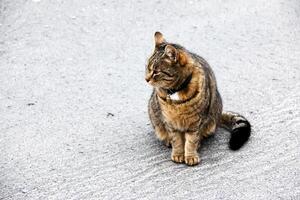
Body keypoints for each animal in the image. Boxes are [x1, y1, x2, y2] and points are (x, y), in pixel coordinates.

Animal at [145, 31, 251, 166]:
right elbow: (176, 140)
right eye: (147, 68)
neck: (176, 92)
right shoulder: (170, 122)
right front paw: (178, 154)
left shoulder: (195, 122)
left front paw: (190, 155)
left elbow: (191, 141)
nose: (146, 79)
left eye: (156, 71)